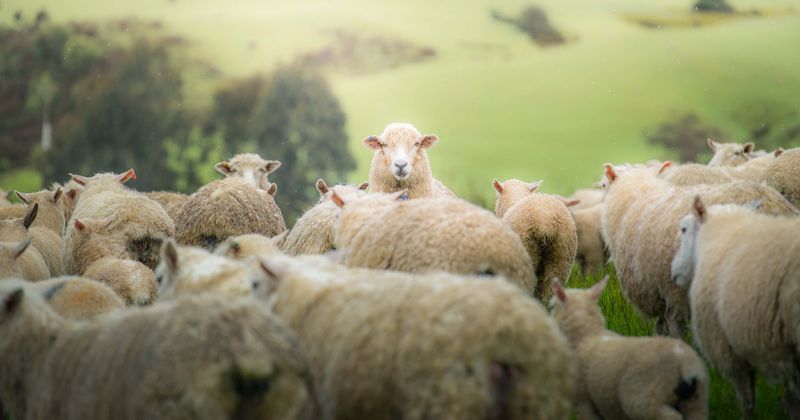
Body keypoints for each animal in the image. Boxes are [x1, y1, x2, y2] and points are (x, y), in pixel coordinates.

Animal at [551, 278, 708, 420]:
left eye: (551, 306)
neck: (588, 334)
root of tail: (685, 365)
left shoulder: (584, 401)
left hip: (644, 400)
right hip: (696, 402)